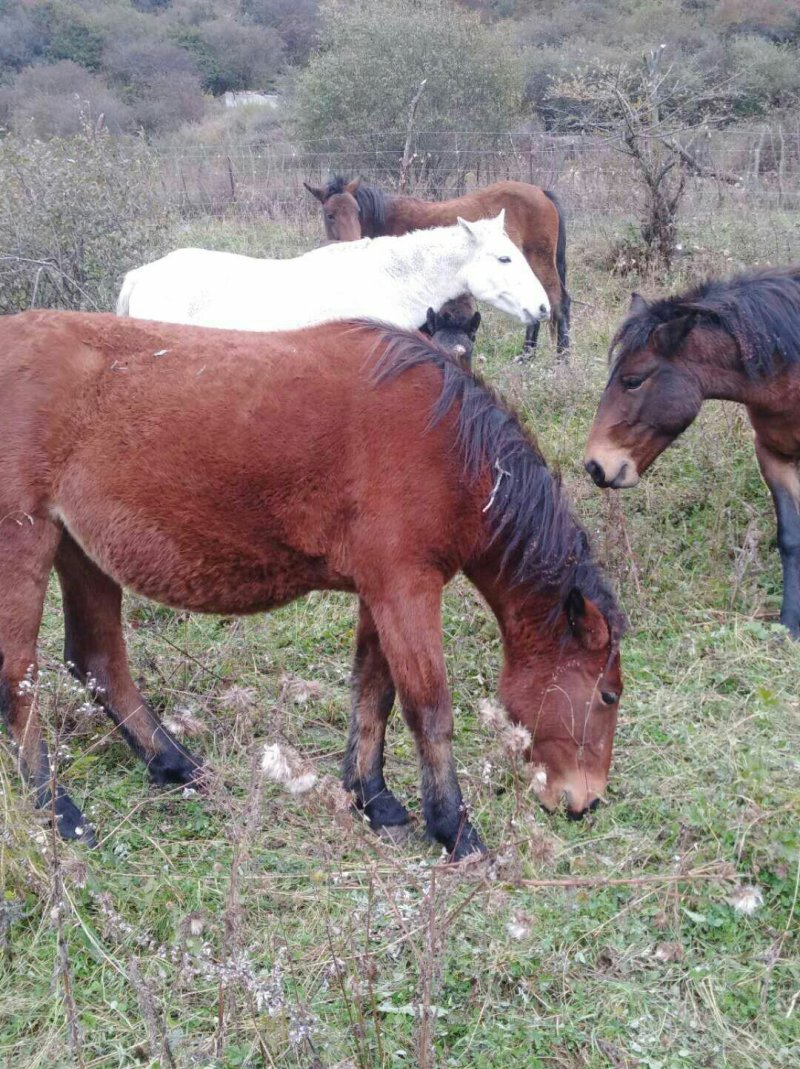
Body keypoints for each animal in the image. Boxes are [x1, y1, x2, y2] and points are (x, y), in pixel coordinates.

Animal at [0, 311, 623, 859]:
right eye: (608, 695)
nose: (587, 802)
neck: (452, 448)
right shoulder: (406, 592)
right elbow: (429, 711)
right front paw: (455, 830)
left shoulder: (382, 593)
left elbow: (374, 692)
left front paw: (375, 799)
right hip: (26, 544)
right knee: (20, 678)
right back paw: (57, 808)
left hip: (82, 553)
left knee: (98, 662)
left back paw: (176, 765)